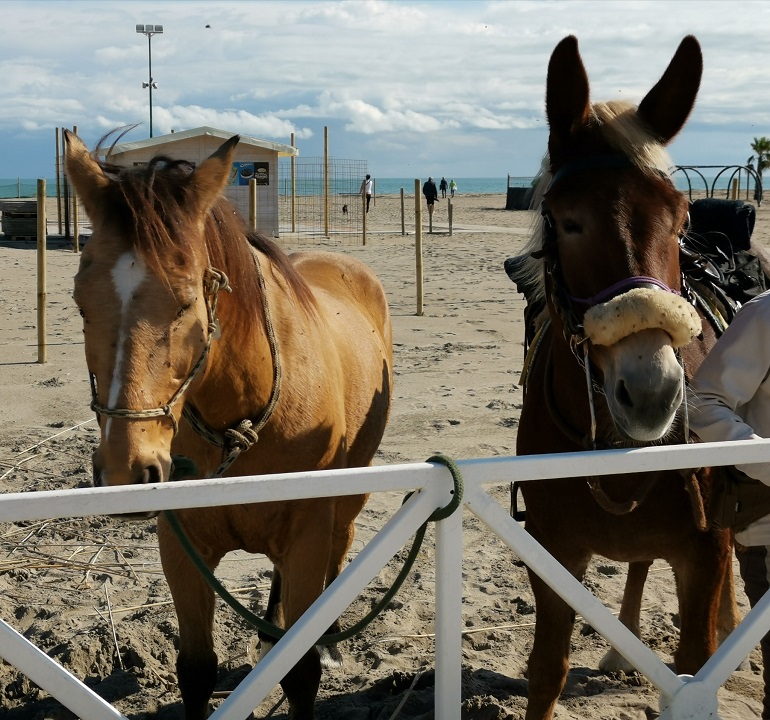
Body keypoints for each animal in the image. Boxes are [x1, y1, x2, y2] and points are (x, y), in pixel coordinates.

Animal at [63, 132, 392, 716]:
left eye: (186, 301)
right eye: (81, 302)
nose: (127, 470)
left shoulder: (308, 534)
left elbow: (300, 672)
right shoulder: (182, 547)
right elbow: (196, 670)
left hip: (350, 496)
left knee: (341, 547)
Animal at [512, 36, 736, 716]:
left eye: (681, 216)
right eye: (567, 220)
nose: (653, 391)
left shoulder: (705, 555)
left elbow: (693, 670)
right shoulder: (553, 555)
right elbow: (547, 671)